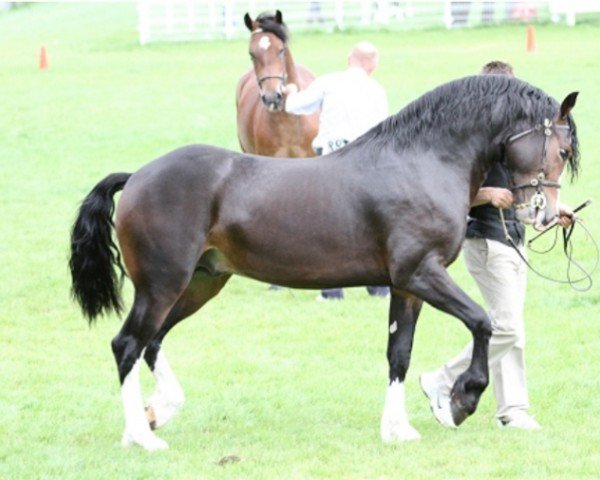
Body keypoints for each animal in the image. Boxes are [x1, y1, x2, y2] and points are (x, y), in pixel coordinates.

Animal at [70, 76, 580, 450]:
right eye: (561, 150)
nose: (545, 214)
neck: (422, 161)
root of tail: (138, 176)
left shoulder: (405, 286)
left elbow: (399, 353)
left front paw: (398, 429)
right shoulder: (422, 273)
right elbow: (482, 321)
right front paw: (459, 401)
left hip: (199, 283)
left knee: (151, 341)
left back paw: (156, 413)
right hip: (163, 284)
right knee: (127, 344)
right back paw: (142, 436)